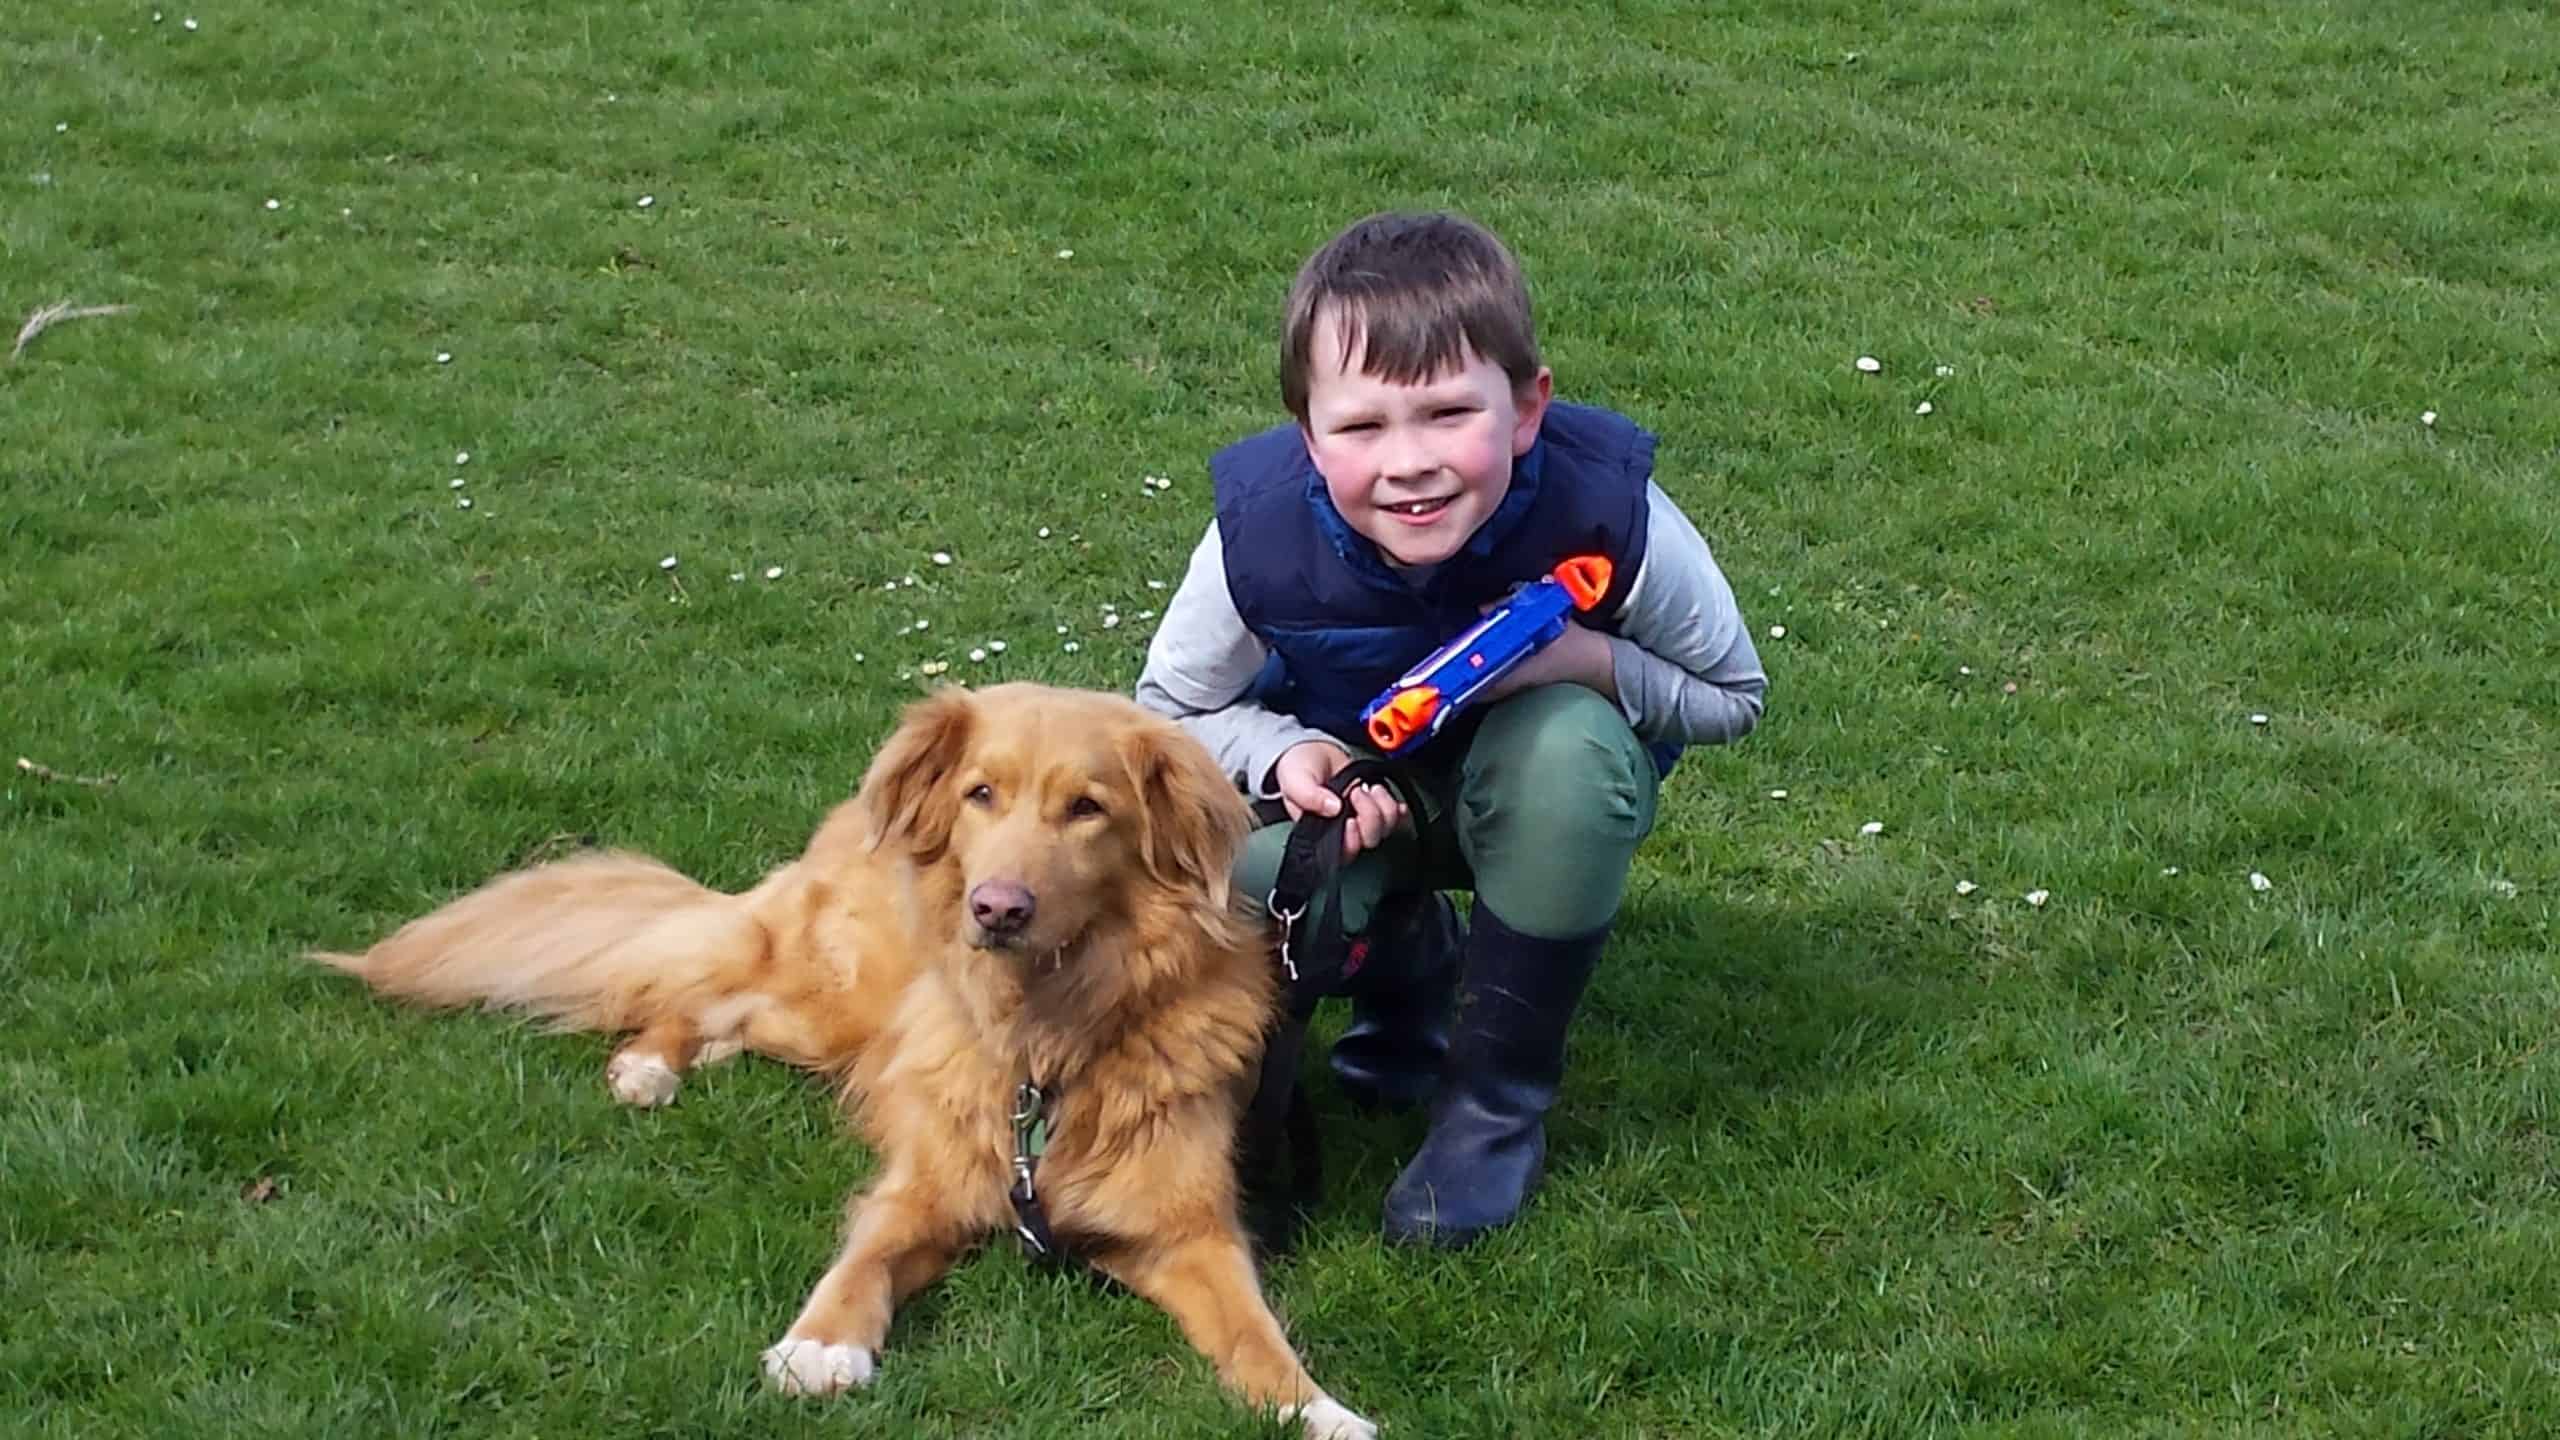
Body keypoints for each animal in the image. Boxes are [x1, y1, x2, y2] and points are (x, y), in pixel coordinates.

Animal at [322, 681, 1382, 1434]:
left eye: (1089, 809)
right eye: (983, 794)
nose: (997, 908)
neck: (1043, 1041)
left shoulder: (1188, 1232)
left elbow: (1254, 1334)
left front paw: (1317, 1409)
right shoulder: (920, 1187)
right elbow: (862, 1262)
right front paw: (820, 1348)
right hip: (834, 1001)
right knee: (704, 989)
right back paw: (650, 1065)